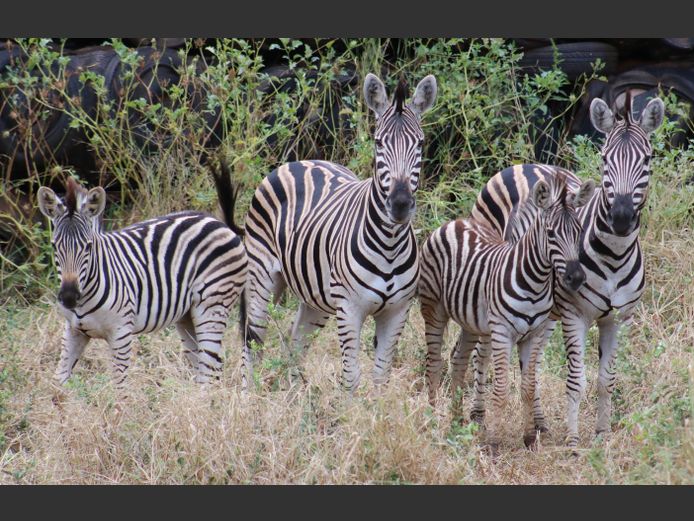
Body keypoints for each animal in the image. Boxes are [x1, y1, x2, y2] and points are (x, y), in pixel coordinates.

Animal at [37, 167, 247, 388]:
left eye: (88, 246)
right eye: (54, 246)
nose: (69, 297)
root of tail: (218, 222)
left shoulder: (121, 333)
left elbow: (120, 387)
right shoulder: (73, 331)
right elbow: (58, 381)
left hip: (213, 305)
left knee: (208, 372)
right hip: (187, 316)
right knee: (210, 368)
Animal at [240, 73, 437, 391]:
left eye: (419, 143)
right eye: (378, 143)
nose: (400, 204)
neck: (390, 244)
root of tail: (301, 161)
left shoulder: (397, 312)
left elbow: (381, 376)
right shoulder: (349, 308)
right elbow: (351, 377)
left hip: (315, 297)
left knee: (295, 343)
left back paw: (295, 397)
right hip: (262, 278)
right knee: (252, 341)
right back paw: (248, 395)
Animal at [419, 172, 594, 449]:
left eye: (578, 231)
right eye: (551, 233)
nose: (576, 278)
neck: (535, 282)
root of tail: (455, 222)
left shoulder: (534, 334)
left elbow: (529, 387)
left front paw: (529, 438)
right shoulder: (502, 332)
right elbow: (501, 389)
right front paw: (493, 441)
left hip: (471, 320)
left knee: (459, 359)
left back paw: (456, 421)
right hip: (434, 309)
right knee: (434, 363)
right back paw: (433, 418)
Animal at [469, 93, 665, 448]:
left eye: (647, 159)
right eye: (604, 159)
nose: (620, 217)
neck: (614, 256)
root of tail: (527, 164)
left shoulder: (619, 319)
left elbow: (606, 379)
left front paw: (602, 435)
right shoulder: (576, 315)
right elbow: (576, 380)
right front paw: (573, 442)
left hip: (546, 315)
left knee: (529, 365)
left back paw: (538, 425)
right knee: (483, 352)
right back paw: (478, 417)